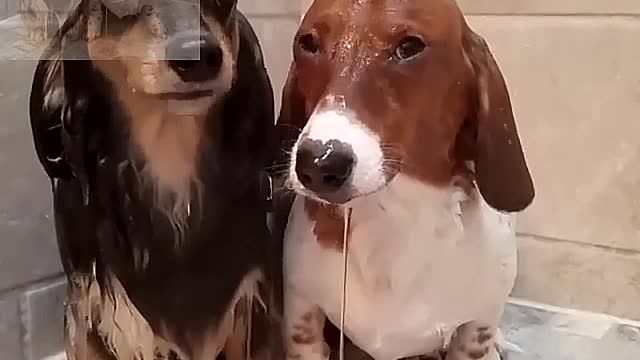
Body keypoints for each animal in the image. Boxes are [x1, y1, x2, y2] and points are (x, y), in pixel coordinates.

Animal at [276, 0, 536, 360]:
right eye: (308, 43)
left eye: (410, 46)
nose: (317, 163)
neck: (394, 215)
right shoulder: (303, 316)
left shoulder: (476, 328)